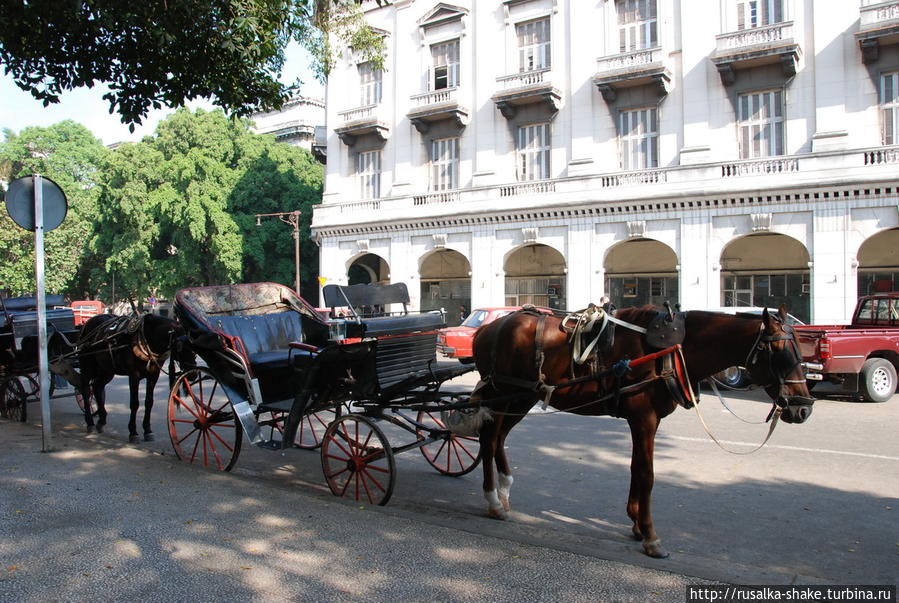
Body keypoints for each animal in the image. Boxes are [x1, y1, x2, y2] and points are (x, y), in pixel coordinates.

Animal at [77, 316, 193, 444]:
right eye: (180, 347)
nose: (193, 375)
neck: (147, 338)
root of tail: (87, 323)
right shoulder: (134, 375)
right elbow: (134, 403)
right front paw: (133, 432)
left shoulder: (154, 375)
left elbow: (149, 402)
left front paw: (147, 430)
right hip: (88, 366)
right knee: (86, 390)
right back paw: (90, 422)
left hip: (106, 369)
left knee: (97, 387)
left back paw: (101, 420)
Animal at [472, 306, 816, 560]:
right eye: (780, 352)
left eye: (800, 350)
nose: (803, 408)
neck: (673, 350)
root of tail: (488, 327)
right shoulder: (643, 418)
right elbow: (647, 473)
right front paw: (650, 536)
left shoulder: (648, 420)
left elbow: (636, 468)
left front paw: (637, 525)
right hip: (504, 392)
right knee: (489, 438)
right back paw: (492, 499)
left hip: (521, 397)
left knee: (498, 437)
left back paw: (504, 491)